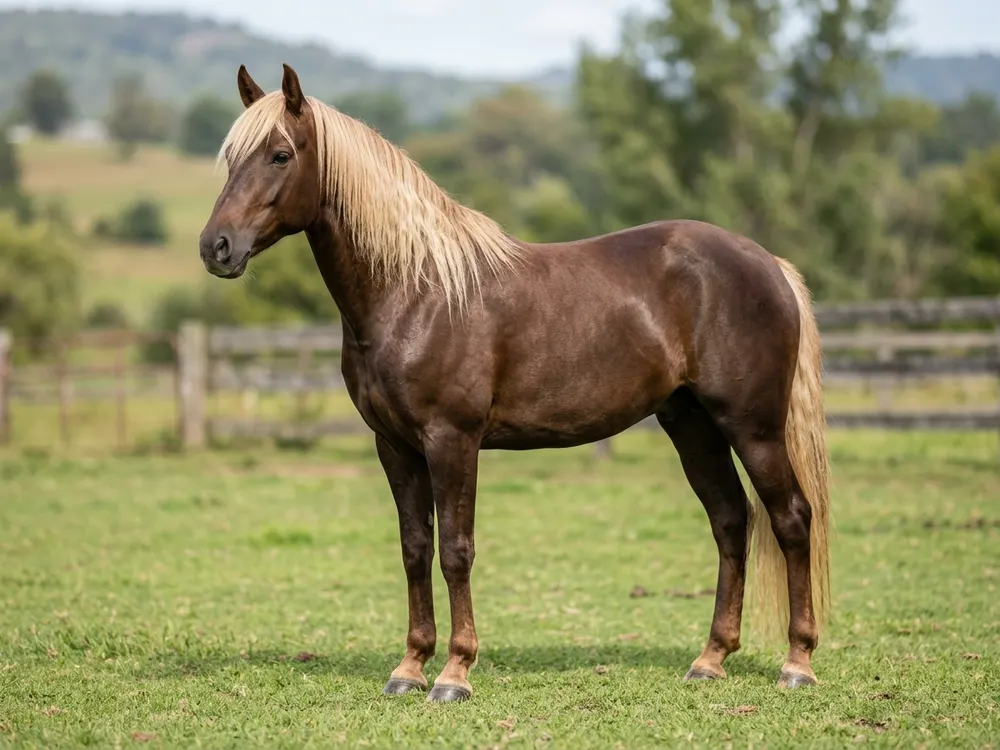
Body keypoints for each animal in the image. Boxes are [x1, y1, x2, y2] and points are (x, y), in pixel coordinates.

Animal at [198, 63, 832, 703]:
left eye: (280, 154)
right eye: (231, 159)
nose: (216, 247)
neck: (416, 292)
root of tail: (768, 264)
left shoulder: (452, 440)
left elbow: (456, 550)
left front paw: (454, 673)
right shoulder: (394, 446)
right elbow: (414, 548)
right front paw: (409, 667)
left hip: (752, 426)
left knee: (791, 518)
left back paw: (797, 662)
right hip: (692, 424)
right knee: (730, 520)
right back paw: (711, 658)